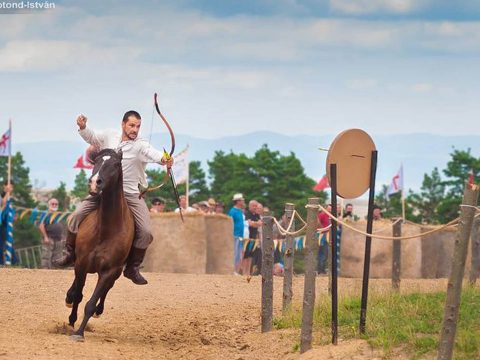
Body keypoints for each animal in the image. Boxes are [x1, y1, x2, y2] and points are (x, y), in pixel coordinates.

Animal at [64, 148, 134, 342]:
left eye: (116, 164)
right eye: (95, 162)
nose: (95, 182)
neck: (106, 228)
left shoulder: (110, 270)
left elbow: (91, 302)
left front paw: (79, 333)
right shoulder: (82, 263)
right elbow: (79, 295)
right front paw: (72, 321)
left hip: (115, 272)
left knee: (106, 290)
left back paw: (98, 310)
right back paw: (69, 298)